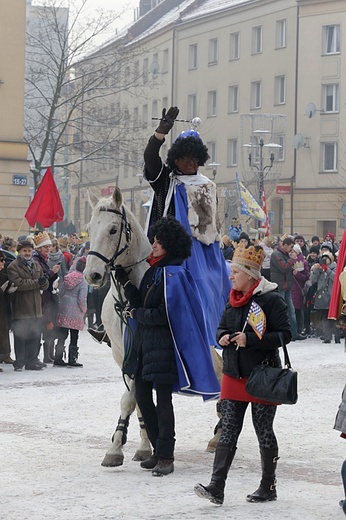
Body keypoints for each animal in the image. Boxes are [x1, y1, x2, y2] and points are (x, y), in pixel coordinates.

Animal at [84, 187, 222, 468]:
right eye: (90, 228)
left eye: (113, 229)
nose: (92, 275)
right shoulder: (122, 354)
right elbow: (137, 400)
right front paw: (141, 447)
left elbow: (131, 399)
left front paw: (116, 449)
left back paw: (219, 435)